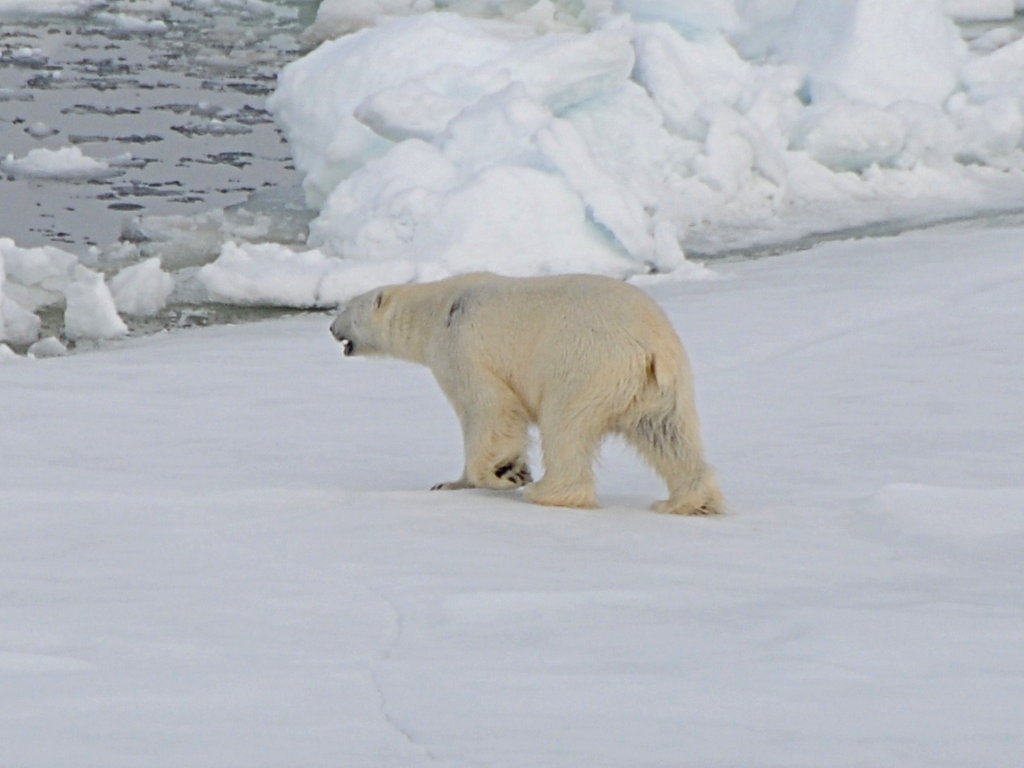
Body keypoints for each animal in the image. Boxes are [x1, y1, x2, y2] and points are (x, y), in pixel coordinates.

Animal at [327, 272, 720, 518]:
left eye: (346, 308)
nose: (330, 327)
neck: (439, 308)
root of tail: (651, 345)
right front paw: (449, 484)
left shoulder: (463, 347)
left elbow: (489, 409)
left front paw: (506, 473)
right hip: (660, 386)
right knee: (667, 433)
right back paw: (690, 502)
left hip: (585, 365)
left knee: (565, 426)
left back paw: (547, 491)